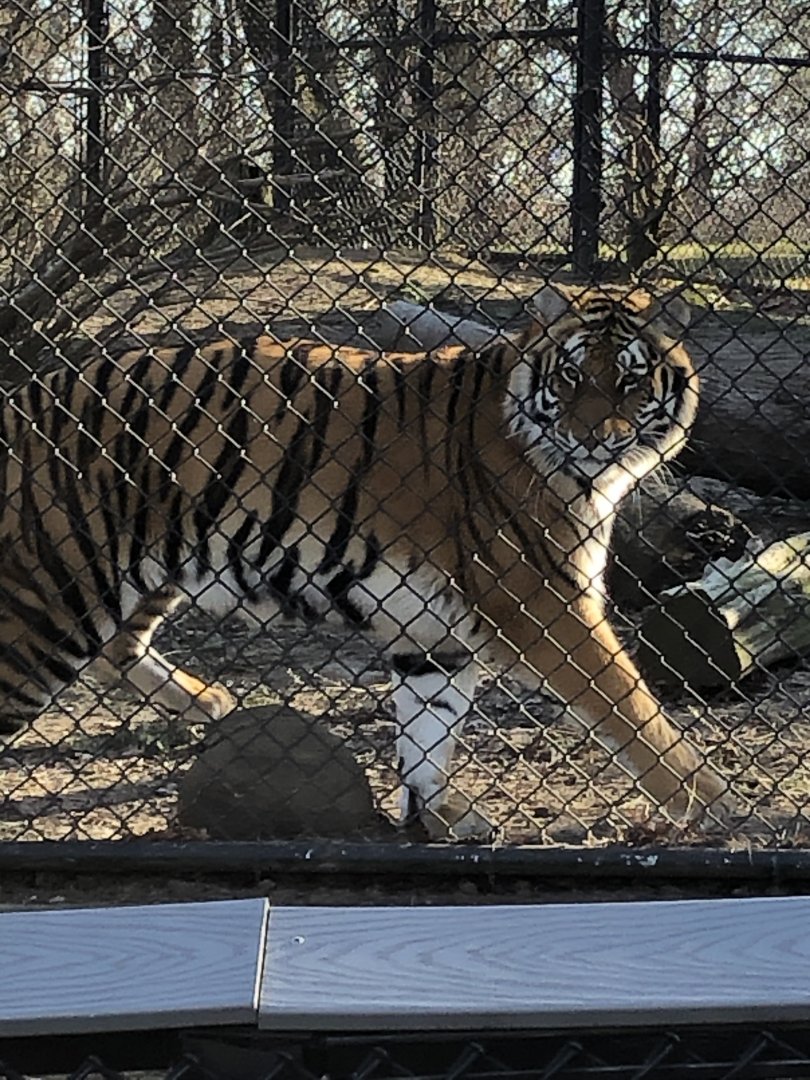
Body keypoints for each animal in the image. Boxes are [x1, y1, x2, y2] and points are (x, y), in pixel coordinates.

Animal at [0, 282, 733, 838]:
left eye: (633, 382)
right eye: (574, 375)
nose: (593, 441)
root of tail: (18, 399)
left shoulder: (434, 631)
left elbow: (429, 726)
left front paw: (437, 814)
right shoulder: (542, 602)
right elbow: (630, 707)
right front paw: (712, 799)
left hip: (141, 565)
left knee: (117, 649)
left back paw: (207, 700)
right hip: (46, 598)